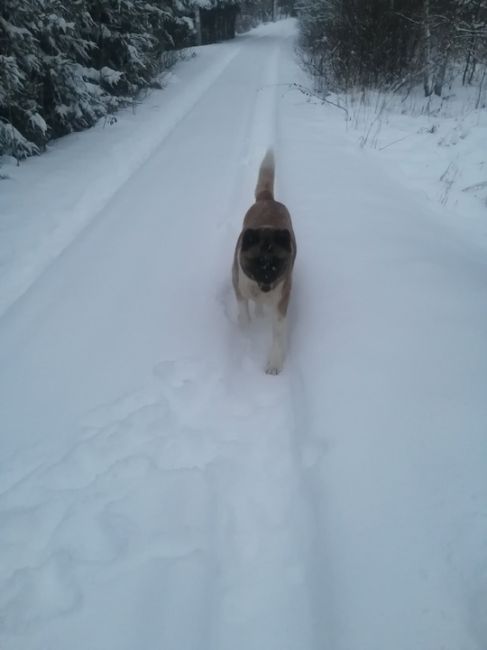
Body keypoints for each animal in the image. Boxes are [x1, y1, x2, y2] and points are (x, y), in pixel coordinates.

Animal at [234, 149, 298, 372]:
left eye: (277, 263)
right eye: (257, 261)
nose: (267, 285)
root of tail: (268, 199)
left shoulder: (281, 301)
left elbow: (278, 334)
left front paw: (274, 364)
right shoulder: (240, 288)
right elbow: (244, 314)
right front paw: (246, 330)